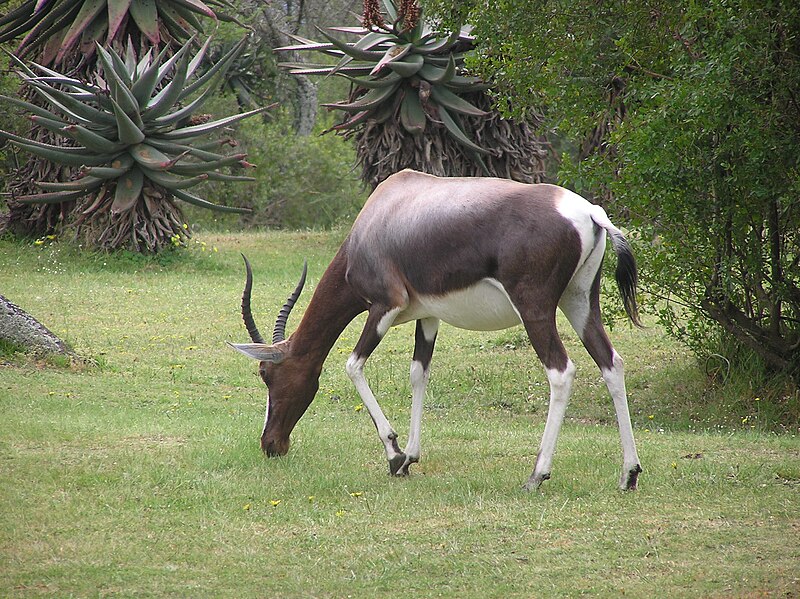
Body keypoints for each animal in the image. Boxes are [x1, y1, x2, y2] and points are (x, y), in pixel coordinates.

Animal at [230, 170, 644, 492]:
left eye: (267, 374)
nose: (271, 444)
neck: (385, 212)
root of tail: (590, 213)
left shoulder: (384, 306)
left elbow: (353, 365)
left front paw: (394, 455)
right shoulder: (427, 317)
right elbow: (418, 373)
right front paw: (410, 457)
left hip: (535, 310)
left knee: (561, 371)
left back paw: (536, 475)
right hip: (580, 302)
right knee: (611, 363)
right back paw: (629, 474)